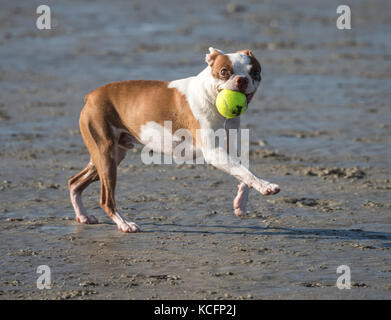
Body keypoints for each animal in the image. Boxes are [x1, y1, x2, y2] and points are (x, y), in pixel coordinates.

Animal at [69, 47, 280, 232]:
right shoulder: (214, 153)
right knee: (106, 199)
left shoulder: (227, 150)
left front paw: (240, 204)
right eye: (224, 72)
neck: (210, 95)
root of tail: (91, 96)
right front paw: (266, 186)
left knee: (74, 182)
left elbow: (243, 172)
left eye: (255, 72)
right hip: (106, 156)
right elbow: (245, 172)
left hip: (110, 155)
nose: (242, 79)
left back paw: (83, 216)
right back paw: (125, 224)